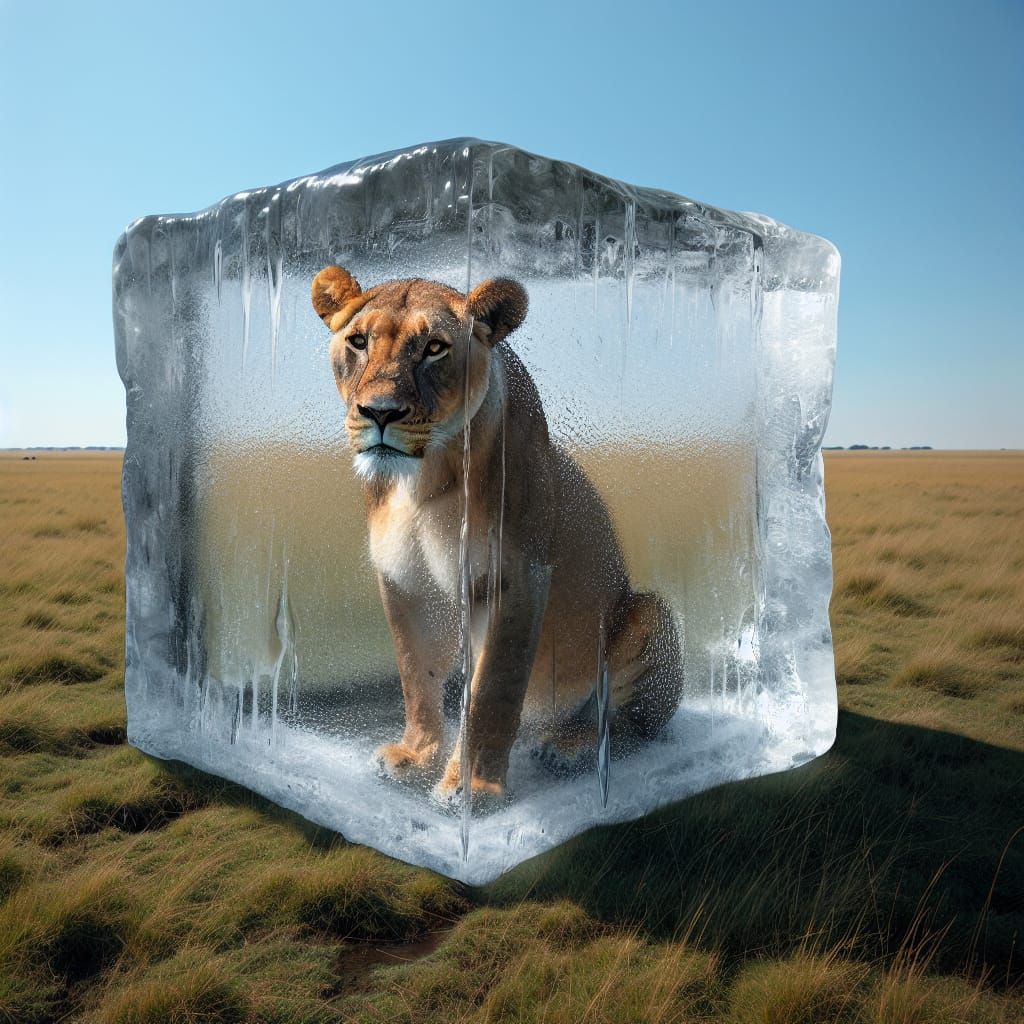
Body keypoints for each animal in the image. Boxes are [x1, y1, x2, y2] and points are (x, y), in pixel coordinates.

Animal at [311, 265, 683, 802]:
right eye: (358, 341)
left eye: (435, 348)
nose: (380, 412)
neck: (424, 478)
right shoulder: (404, 581)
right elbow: (416, 677)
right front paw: (416, 757)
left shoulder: (517, 579)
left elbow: (492, 692)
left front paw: (471, 791)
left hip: (652, 615)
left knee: (628, 728)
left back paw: (569, 747)